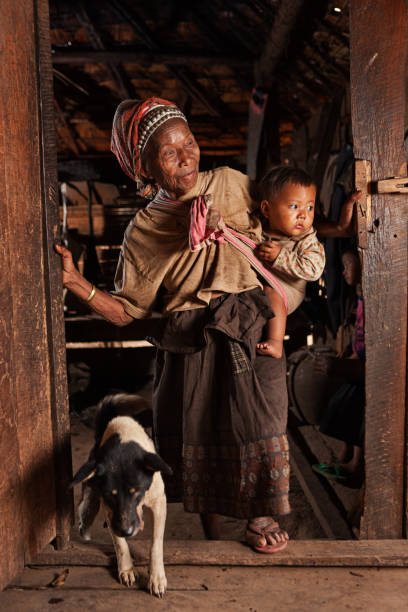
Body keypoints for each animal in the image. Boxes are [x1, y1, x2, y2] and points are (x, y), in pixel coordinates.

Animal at [71, 392, 172, 596]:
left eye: (136, 491)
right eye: (111, 495)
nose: (127, 531)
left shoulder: (159, 502)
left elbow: (156, 544)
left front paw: (156, 577)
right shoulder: (109, 509)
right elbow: (120, 544)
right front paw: (126, 569)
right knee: (87, 501)